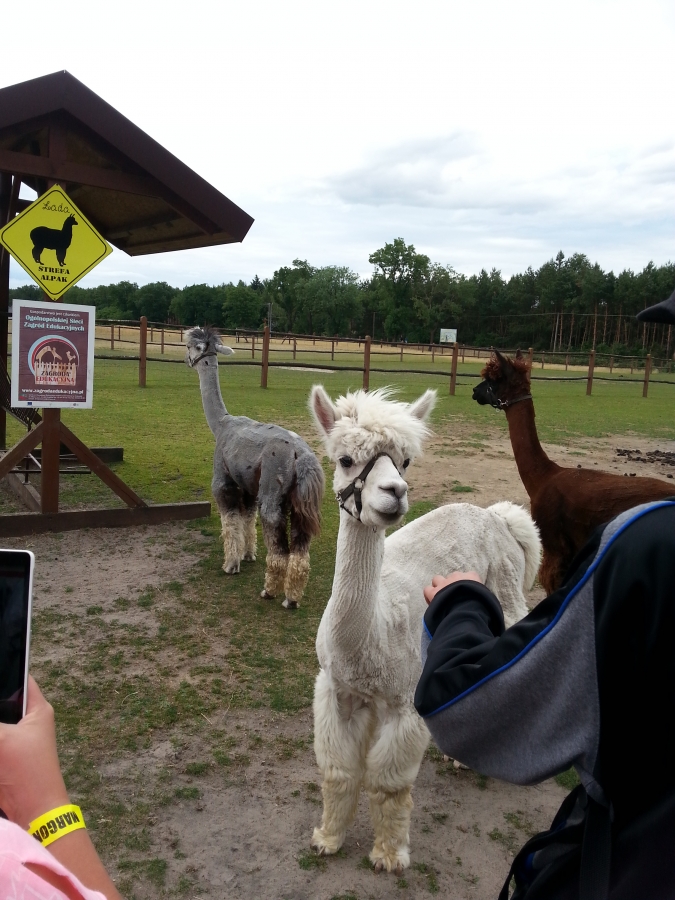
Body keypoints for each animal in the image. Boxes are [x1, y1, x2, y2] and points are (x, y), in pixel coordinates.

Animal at [184, 327, 325, 608]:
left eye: (191, 346)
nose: (186, 360)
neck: (221, 425)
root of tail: (301, 456)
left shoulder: (224, 482)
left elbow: (230, 524)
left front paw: (231, 564)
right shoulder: (248, 486)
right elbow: (247, 520)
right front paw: (248, 555)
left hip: (273, 490)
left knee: (280, 550)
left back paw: (269, 591)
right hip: (301, 502)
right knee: (301, 553)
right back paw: (291, 599)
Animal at [309, 385, 541, 874]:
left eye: (405, 461)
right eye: (345, 459)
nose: (394, 492)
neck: (367, 639)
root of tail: (496, 516)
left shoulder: (403, 702)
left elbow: (389, 785)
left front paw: (389, 855)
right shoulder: (337, 691)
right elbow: (338, 771)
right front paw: (327, 838)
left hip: (508, 592)